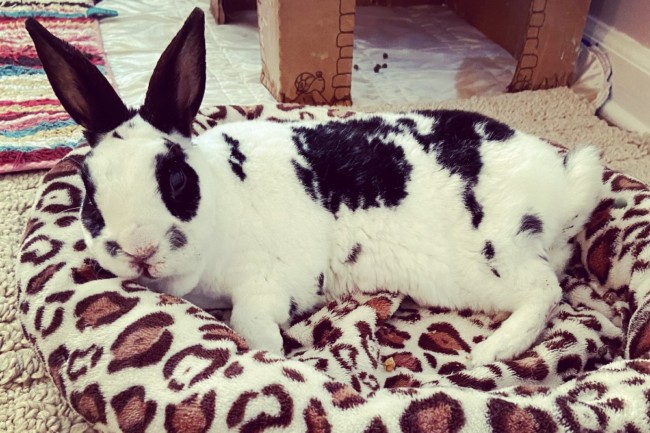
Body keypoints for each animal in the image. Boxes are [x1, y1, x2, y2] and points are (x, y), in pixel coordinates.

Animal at [26, 8, 603, 366]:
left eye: (175, 178)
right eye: (89, 189)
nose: (139, 250)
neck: (223, 201)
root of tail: (561, 185)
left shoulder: (263, 283)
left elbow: (249, 320)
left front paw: (274, 356)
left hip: (491, 259)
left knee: (545, 292)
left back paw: (490, 353)